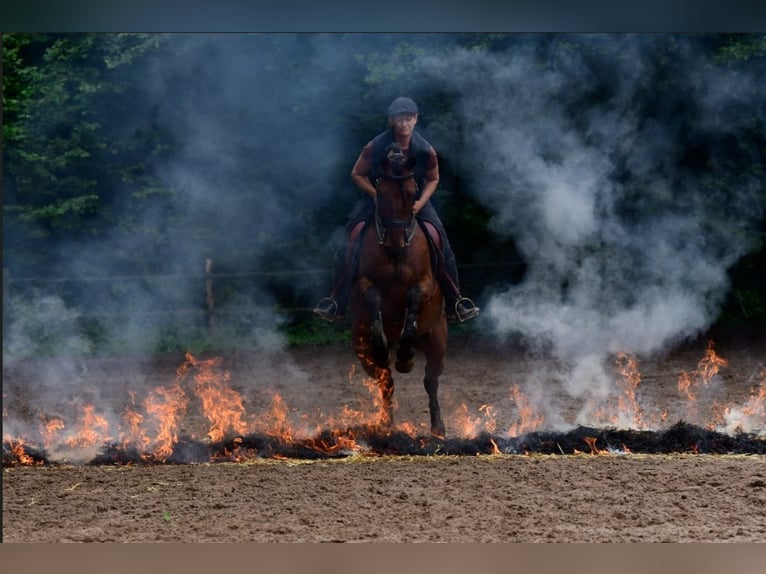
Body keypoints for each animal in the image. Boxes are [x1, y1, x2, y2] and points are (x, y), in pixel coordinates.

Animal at [349, 142, 447, 436]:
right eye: (381, 192)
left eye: (411, 193)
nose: (394, 243)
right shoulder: (365, 282)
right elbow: (373, 301)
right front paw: (382, 345)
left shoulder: (424, 284)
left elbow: (413, 300)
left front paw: (405, 356)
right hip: (361, 350)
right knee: (385, 380)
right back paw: (386, 423)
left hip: (437, 339)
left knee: (431, 381)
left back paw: (438, 426)